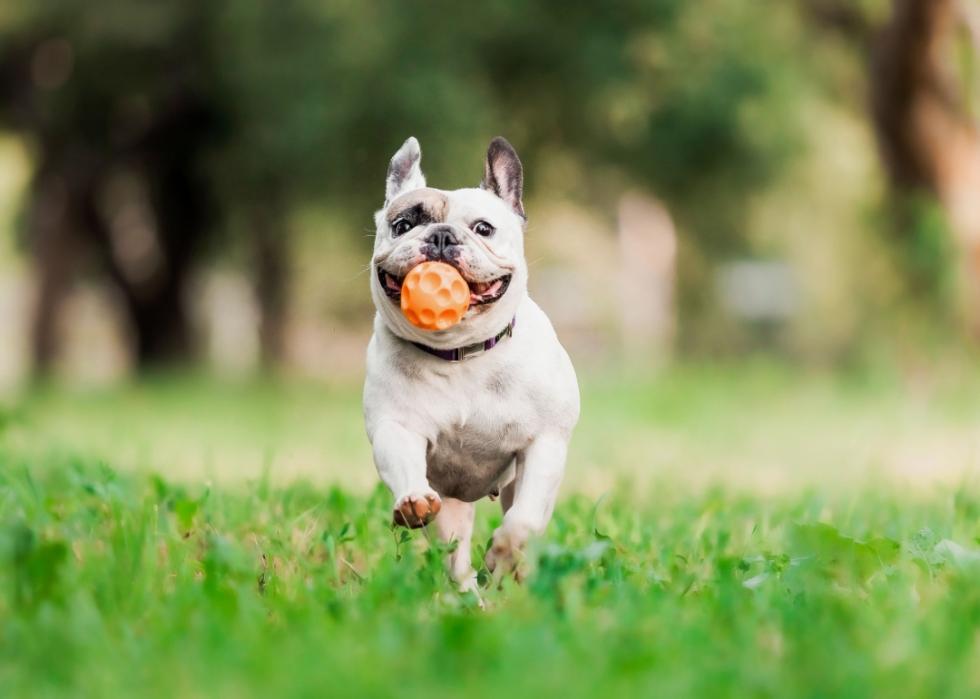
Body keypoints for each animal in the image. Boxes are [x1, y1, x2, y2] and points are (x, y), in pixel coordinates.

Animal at [368, 137, 580, 592]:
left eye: (483, 228)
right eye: (403, 225)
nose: (441, 236)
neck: (461, 353)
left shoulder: (544, 443)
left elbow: (523, 521)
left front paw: (502, 553)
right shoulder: (396, 427)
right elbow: (403, 463)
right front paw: (412, 500)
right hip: (451, 509)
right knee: (455, 556)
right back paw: (468, 595)